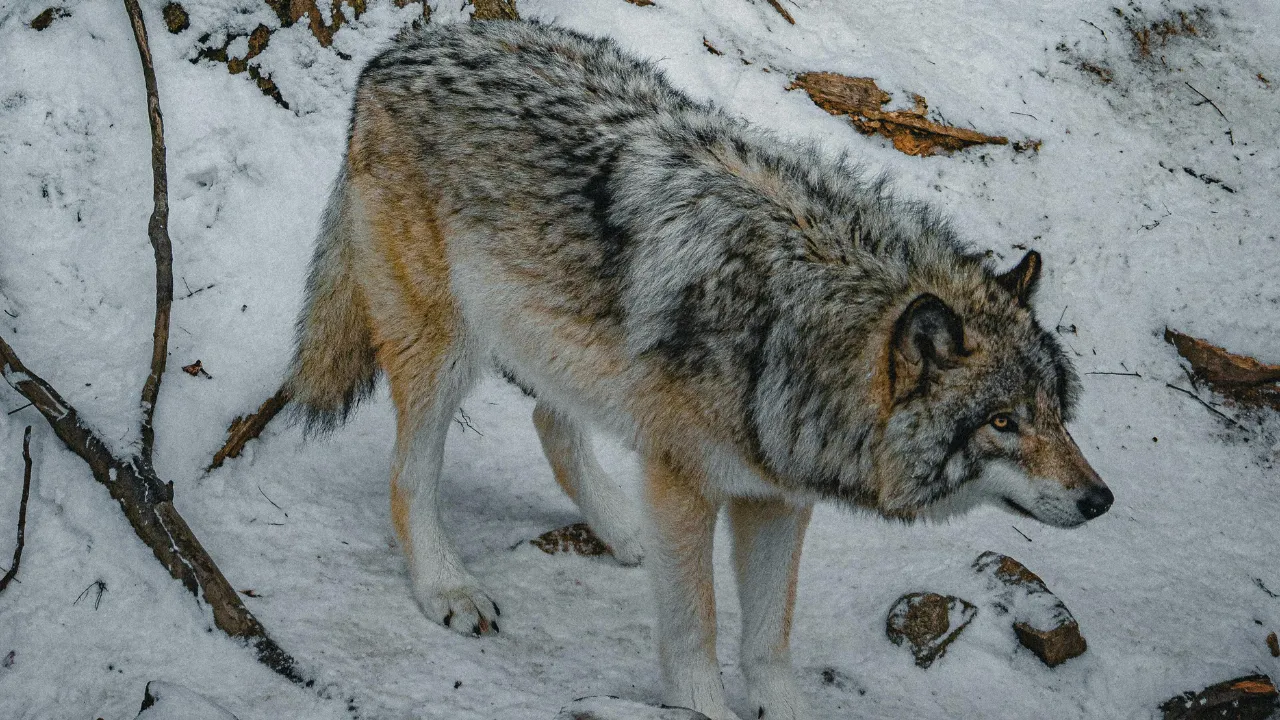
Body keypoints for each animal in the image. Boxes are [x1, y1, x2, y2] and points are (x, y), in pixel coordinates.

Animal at [287, 19, 1112, 720]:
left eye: (1056, 413)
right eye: (1002, 423)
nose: (1100, 500)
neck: (792, 326)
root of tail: (404, 43)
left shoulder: (776, 498)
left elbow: (769, 638)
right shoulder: (685, 486)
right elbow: (697, 632)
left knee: (550, 422)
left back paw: (622, 530)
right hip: (446, 347)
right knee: (411, 477)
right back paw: (448, 586)